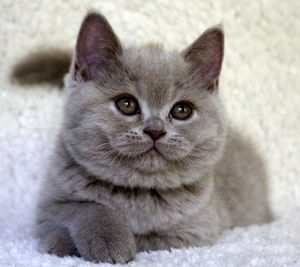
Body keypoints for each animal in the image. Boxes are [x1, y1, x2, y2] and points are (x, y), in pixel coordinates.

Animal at [15, 12, 272, 264]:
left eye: (182, 110)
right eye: (126, 104)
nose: (155, 130)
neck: (136, 192)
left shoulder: (195, 231)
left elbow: (145, 238)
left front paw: (106, 243)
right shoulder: (48, 204)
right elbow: (82, 207)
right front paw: (72, 239)